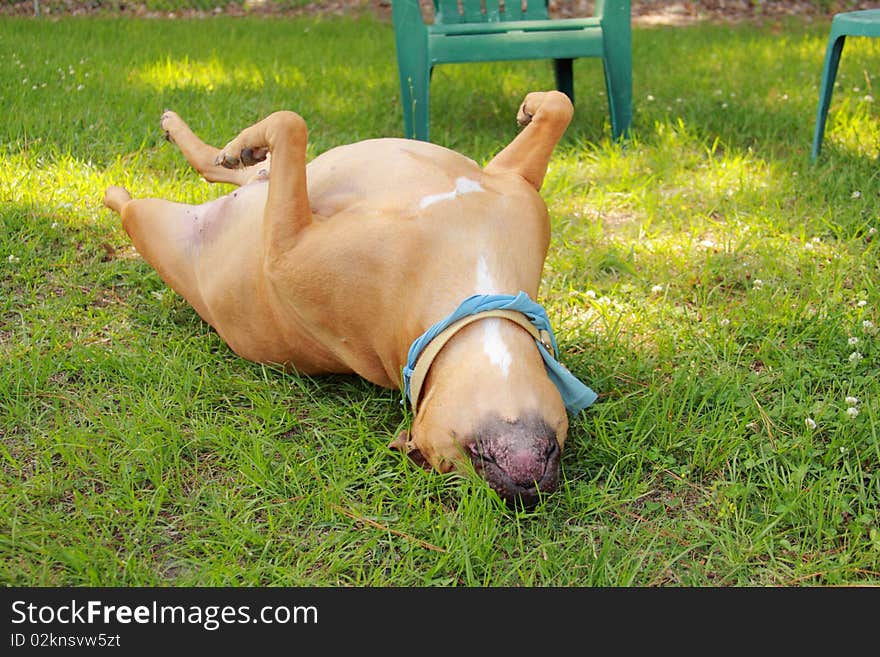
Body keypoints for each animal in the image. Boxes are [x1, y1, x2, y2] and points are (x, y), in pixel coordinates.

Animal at [103, 89, 600, 504]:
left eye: (452, 463)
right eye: (476, 457)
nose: (526, 483)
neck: (473, 296)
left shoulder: (283, 247)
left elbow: (292, 125)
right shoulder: (511, 181)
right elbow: (560, 106)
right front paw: (532, 106)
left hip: (156, 227)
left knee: (136, 204)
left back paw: (114, 187)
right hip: (242, 189)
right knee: (221, 165)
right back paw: (201, 136)